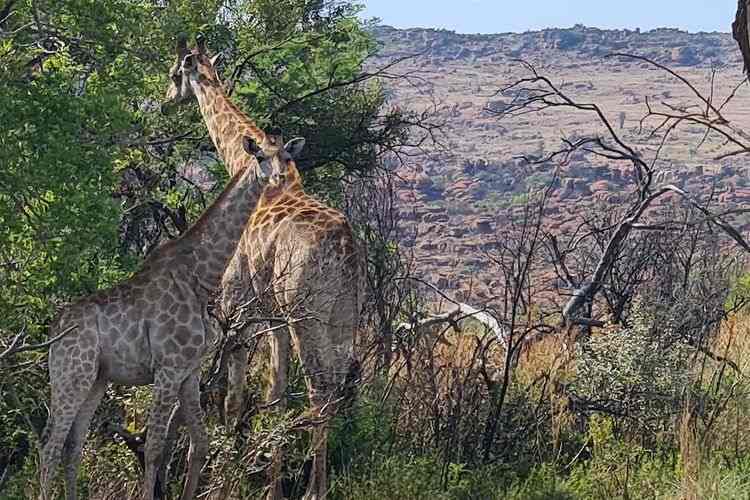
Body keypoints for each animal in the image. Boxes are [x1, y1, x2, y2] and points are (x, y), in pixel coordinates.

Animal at [39, 49, 290, 500]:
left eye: (287, 157)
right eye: (260, 156)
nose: (279, 178)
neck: (200, 277)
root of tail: (54, 329)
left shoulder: (189, 373)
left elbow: (199, 444)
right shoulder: (168, 369)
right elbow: (157, 448)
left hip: (96, 379)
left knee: (72, 445)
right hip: (71, 375)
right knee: (50, 445)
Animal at [165, 36, 364, 500]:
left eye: (174, 74)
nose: (165, 103)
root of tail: (345, 247)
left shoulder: (238, 306)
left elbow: (234, 396)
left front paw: (223, 481)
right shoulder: (272, 318)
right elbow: (275, 393)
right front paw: (269, 485)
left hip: (306, 314)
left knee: (319, 388)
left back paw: (314, 490)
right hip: (343, 315)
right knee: (335, 386)